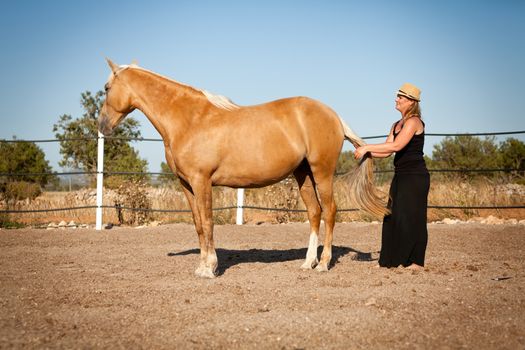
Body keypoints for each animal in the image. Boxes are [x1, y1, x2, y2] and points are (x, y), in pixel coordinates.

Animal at [99, 60, 384, 278]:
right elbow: (198, 225)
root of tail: (333, 115)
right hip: (303, 174)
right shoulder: (187, 185)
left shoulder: (202, 181)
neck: (189, 119)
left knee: (330, 211)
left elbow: (208, 222)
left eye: (106, 87)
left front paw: (210, 269)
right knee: (314, 212)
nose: (102, 125)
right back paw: (307, 262)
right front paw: (201, 267)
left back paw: (323, 264)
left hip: (322, 172)